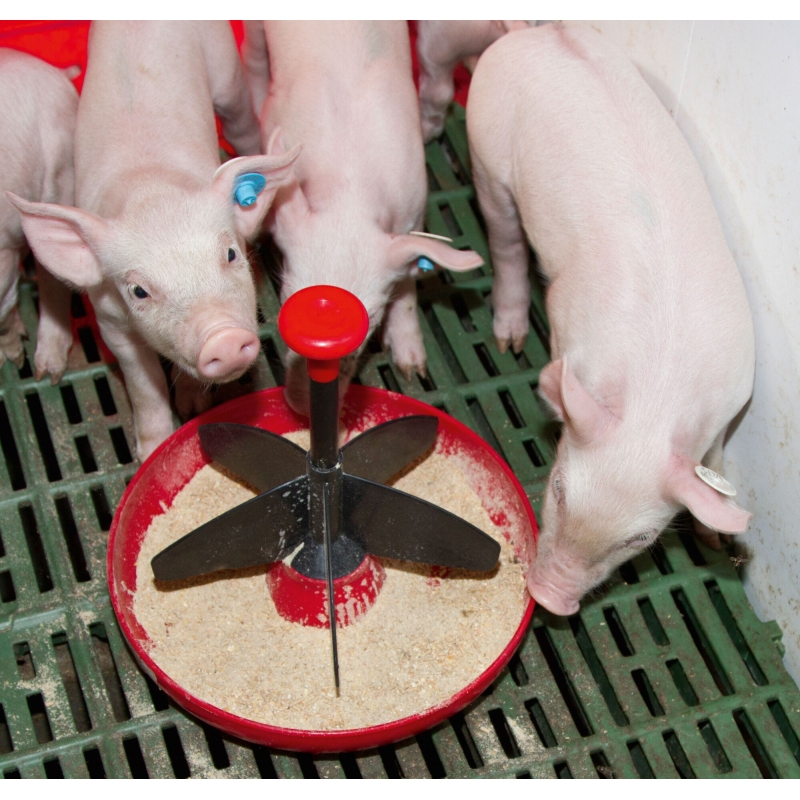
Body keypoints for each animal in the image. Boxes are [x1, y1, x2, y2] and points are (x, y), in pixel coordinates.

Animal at [7, 22, 300, 460]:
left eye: (231, 253)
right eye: (139, 291)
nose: (225, 337)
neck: (150, 188)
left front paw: (193, 405)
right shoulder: (110, 321)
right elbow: (143, 385)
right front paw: (150, 450)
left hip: (225, 71)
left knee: (241, 119)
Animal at [246, 21, 484, 414]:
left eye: (370, 320)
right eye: (284, 298)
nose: (302, 408)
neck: (350, 191)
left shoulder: (413, 204)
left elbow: (408, 282)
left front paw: (412, 367)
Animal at [467, 22, 755, 615]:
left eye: (640, 538)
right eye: (557, 488)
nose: (551, 599)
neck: (657, 396)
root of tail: (538, 33)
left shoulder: (732, 398)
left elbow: (714, 457)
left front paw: (716, 539)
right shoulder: (564, 318)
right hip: (487, 156)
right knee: (505, 242)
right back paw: (509, 339)